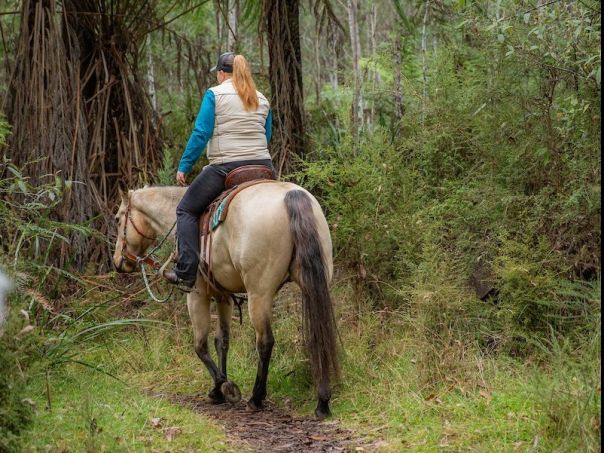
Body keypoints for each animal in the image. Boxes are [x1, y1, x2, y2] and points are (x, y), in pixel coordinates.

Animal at [112, 180, 340, 416]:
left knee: (265, 342)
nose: (118, 262)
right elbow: (222, 341)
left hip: (259, 294)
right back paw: (322, 402)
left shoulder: (197, 295)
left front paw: (225, 386)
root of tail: (292, 195)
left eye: (118, 219)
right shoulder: (223, 296)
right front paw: (217, 390)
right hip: (313, 284)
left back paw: (256, 398)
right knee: (319, 333)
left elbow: (200, 345)